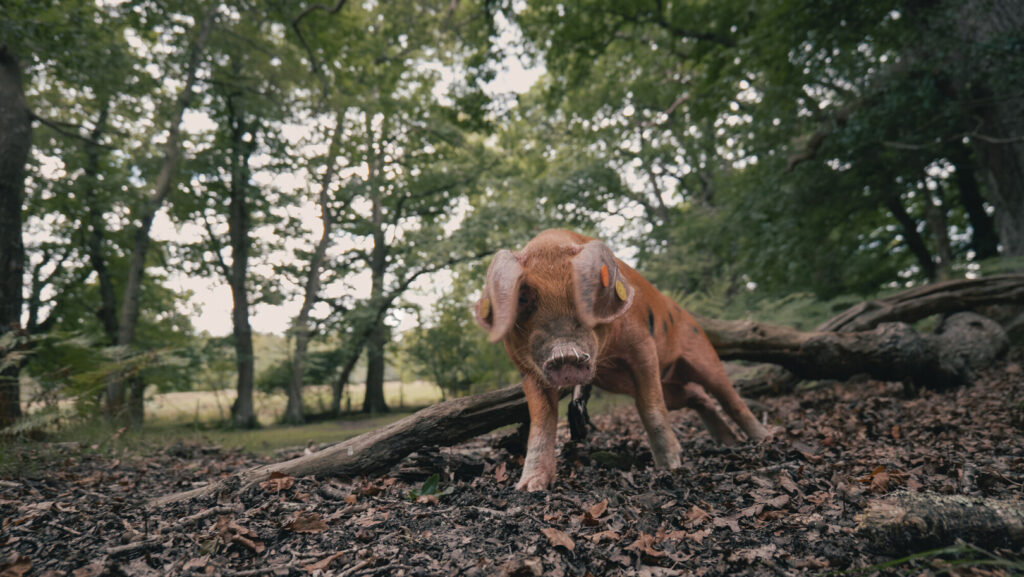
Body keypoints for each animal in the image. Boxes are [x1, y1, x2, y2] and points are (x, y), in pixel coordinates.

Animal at [474, 229, 769, 491]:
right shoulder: (528, 371)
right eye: (523, 297)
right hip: (663, 388)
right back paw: (727, 443)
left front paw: (670, 467)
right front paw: (528, 488)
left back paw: (763, 438)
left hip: (702, 355)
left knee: (727, 395)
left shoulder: (642, 346)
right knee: (699, 396)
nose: (564, 354)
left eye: (583, 292)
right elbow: (541, 424)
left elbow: (650, 406)